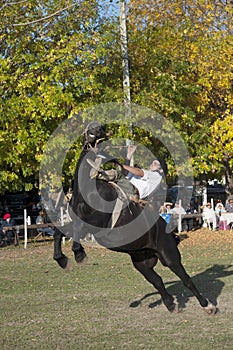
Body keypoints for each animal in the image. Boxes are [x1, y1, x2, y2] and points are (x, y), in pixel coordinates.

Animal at [52, 123, 217, 314]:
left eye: (101, 132)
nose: (92, 127)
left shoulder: (96, 224)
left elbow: (77, 230)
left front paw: (79, 255)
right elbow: (58, 232)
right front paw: (62, 260)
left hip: (169, 255)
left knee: (186, 279)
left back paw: (208, 305)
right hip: (142, 262)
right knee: (158, 281)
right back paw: (171, 304)